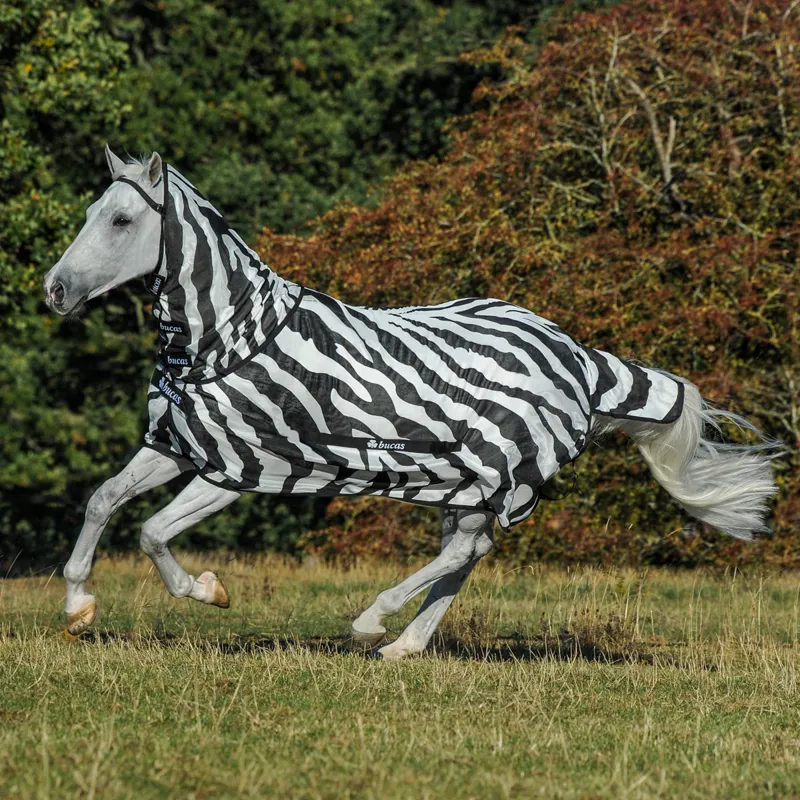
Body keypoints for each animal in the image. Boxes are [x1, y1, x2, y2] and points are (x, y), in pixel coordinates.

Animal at [43, 147, 777, 659]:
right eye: (88, 214)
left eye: (122, 219)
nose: (55, 290)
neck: (226, 336)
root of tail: (579, 357)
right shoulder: (175, 446)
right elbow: (104, 502)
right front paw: (78, 606)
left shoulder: (239, 467)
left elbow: (151, 531)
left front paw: (208, 590)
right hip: (466, 481)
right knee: (469, 552)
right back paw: (404, 645)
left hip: (495, 471)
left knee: (463, 552)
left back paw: (373, 623)